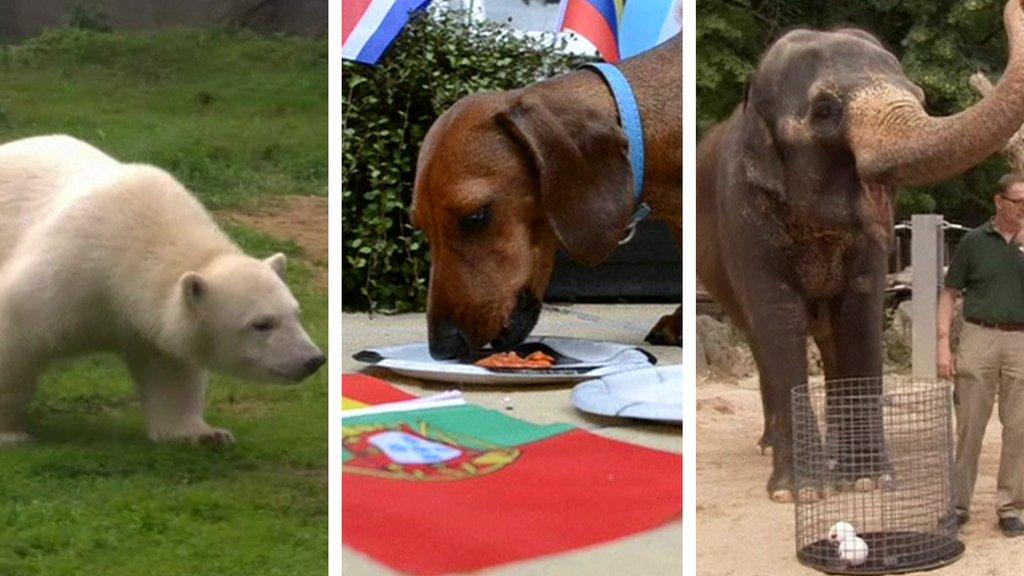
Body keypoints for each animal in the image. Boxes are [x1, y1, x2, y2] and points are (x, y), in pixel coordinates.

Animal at [0, 134, 323, 444]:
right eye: (261, 323)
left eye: (296, 313)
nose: (313, 360)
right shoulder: (70, 270)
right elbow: (16, 329)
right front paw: (11, 434)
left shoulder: (149, 321)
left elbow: (171, 373)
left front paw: (206, 434)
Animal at [700, 0, 1024, 500]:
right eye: (825, 110)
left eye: (920, 96)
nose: (1013, 7)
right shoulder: (744, 211)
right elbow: (778, 316)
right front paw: (801, 492)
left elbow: (858, 313)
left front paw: (870, 480)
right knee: (757, 334)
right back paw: (771, 445)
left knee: (829, 336)